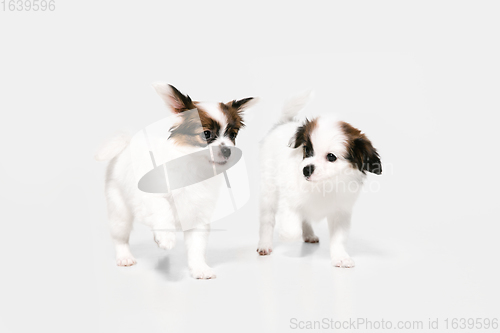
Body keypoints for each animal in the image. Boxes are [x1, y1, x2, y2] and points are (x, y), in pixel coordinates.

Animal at [96, 82, 256, 278]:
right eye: (206, 134)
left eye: (233, 135)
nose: (227, 150)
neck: (194, 167)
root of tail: (127, 145)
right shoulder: (150, 196)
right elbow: (163, 209)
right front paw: (166, 237)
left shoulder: (199, 216)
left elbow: (197, 247)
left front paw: (199, 268)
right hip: (119, 210)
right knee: (120, 236)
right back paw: (125, 257)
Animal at [256, 91, 380, 268]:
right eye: (307, 150)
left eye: (331, 157)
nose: (306, 169)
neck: (323, 185)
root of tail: (283, 124)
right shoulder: (289, 197)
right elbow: (291, 224)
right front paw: (287, 233)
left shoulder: (341, 212)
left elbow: (339, 238)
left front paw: (340, 257)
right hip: (269, 190)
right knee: (267, 219)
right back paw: (265, 245)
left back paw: (308, 234)